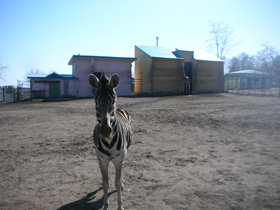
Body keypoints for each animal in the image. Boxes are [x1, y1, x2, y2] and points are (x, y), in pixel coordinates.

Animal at [88, 72, 132, 210]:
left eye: (113, 100)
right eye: (96, 101)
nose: (106, 130)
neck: (108, 141)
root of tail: (120, 109)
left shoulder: (119, 157)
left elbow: (116, 183)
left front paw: (120, 206)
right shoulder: (101, 159)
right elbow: (105, 183)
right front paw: (106, 204)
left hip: (124, 153)